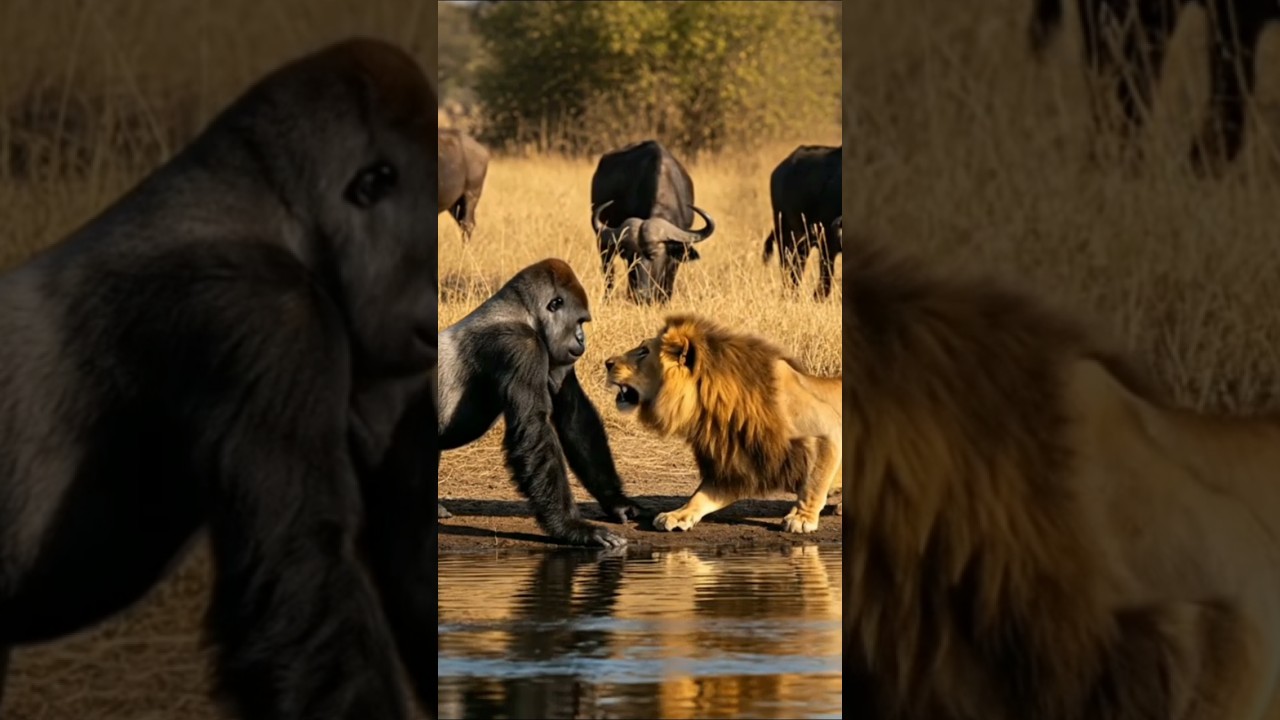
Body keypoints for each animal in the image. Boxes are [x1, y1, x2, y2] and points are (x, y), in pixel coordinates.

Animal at [604, 314, 842, 533]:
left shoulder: (828, 430)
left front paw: (801, 518)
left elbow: (814, 483)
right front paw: (678, 515)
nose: (607, 363)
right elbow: (700, 496)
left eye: (644, 351)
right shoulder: (735, 463)